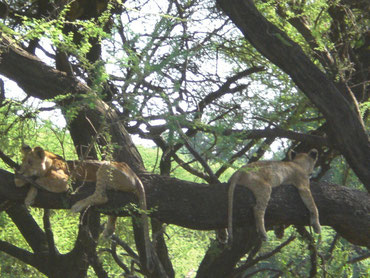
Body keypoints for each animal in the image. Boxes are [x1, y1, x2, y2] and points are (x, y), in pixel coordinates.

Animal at [14, 146, 153, 270]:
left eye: (30, 162)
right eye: (23, 161)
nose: (19, 172)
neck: (49, 164)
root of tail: (135, 176)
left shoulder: (63, 182)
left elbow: (37, 179)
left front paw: (21, 182)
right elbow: (34, 182)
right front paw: (29, 196)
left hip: (105, 167)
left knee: (102, 196)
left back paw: (78, 205)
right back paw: (108, 231)